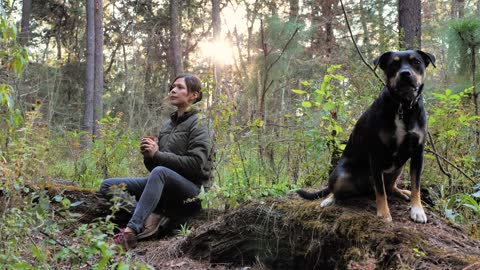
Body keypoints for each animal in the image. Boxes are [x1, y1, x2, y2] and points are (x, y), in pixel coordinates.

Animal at [296, 50, 436, 224]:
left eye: (416, 62)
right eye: (393, 63)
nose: (405, 73)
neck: (403, 107)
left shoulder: (418, 153)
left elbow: (415, 184)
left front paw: (417, 209)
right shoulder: (376, 155)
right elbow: (380, 191)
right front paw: (384, 213)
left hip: (398, 167)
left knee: (390, 187)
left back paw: (402, 192)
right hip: (341, 175)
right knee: (339, 191)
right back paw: (329, 199)